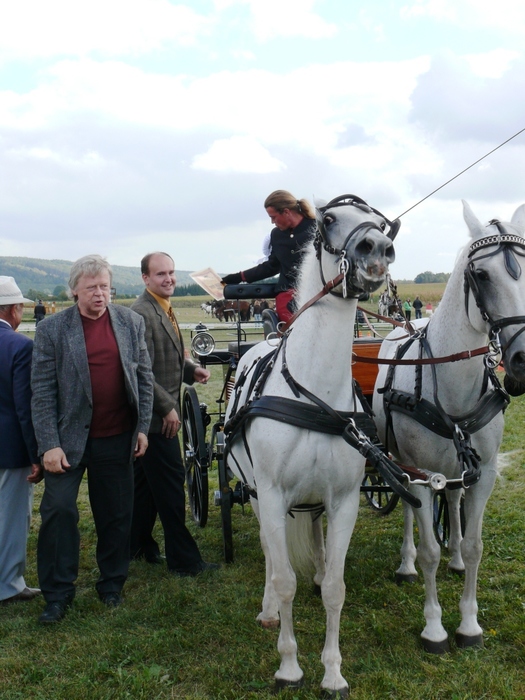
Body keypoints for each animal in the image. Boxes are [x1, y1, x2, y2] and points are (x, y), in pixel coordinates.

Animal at [224, 195, 398, 696]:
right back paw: (267, 609)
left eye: (381, 224)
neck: (313, 392)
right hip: (257, 494)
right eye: (329, 220)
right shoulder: (272, 495)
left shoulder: (344, 500)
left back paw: (317, 571)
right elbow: (284, 580)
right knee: (270, 551)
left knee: (315, 537)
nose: (376, 250)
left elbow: (338, 588)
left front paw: (333, 672)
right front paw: (289, 666)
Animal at [372, 201, 525, 654]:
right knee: (409, 509)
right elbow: (428, 553)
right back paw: (405, 564)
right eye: (482, 275)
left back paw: (453, 552)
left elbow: (475, 546)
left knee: (454, 501)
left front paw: (469, 623)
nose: (523, 359)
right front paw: (435, 627)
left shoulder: (485, 473)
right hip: (402, 462)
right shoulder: (423, 475)